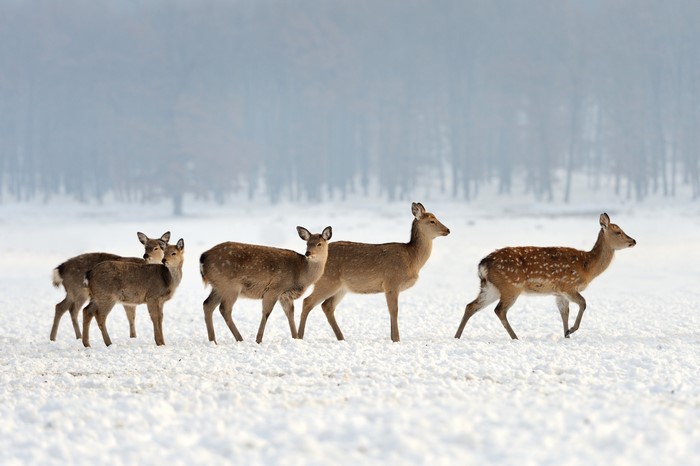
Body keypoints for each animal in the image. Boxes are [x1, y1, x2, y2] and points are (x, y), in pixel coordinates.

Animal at [200, 226, 333, 344]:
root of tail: (203, 258)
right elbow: (267, 312)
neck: (300, 275)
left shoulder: (285, 295)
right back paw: (240, 339)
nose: (308, 253)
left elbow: (290, 313)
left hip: (218, 286)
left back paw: (213, 340)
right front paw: (258, 340)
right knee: (224, 309)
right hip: (230, 286)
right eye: (307, 243)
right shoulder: (274, 288)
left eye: (319, 244)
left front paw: (296, 338)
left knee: (207, 304)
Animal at [298, 202, 450, 343]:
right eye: (432, 221)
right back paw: (299, 336)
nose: (448, 230)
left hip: (341, 287)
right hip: (327, 281)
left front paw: (392, 338)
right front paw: (397, 339)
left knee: (327, 306)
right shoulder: (392, 282)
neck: (412, 259)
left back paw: (341, 338)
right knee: (307, 301)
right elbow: (394, 310)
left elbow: (391, 311)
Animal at [455, 213, 636, 340]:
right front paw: (572, 330)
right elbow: (583, 303)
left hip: (490, 287)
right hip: (511, 286)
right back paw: (515, 337)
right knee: (499, 310)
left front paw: (566, 335)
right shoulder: (568, 285)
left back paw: (457, 336)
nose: (633, 241)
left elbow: (564, 313)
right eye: (618, 232)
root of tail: (482, 265)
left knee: (471, 306)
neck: (588, 268)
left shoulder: (559, 293)